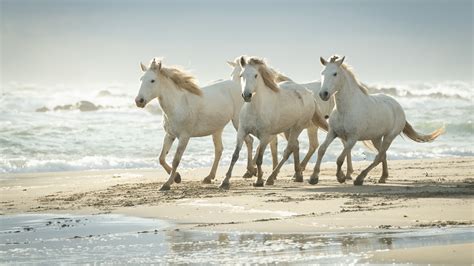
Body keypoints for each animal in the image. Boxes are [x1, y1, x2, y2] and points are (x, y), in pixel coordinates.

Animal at [135, 58, 258, 191]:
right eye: (141, 79)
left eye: (152, 80)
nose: (139, 101)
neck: (178, 105)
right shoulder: (169, 135)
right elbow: (161, 158)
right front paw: (177, 177)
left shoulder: (184, 137)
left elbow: (176, 160)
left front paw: (167, 184)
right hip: (217, 129)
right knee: (219, 149)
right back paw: (210, 177)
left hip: (237, 123)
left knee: (249, 141)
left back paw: (250, 171)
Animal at [219, 56, 328, 189]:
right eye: (241, 75)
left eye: (255, 75)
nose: (246, 95)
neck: (255, 109)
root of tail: (309, 94)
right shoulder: (242, 132)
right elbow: (235, 155)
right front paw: (225, 181)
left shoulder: (265, 136)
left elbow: (259, 159)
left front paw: (258, 181)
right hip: (288, 129)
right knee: (295, 146)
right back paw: (297, 176)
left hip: (298, 127)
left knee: (288, 150)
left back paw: (271, 178)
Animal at [310, 55, 442, 186]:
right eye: (322, 73)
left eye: (335, 73)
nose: (323, 94)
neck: (346, 109)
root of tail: (398, 106)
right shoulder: (332, 133)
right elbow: (322, 150)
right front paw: (314, 177)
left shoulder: (352, 138)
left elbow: (340, 158)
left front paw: (341, 177)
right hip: (376, 138)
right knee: (383, 155)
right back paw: (383, 177)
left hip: (389, 137)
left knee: (378, 157)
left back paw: (360, 178)